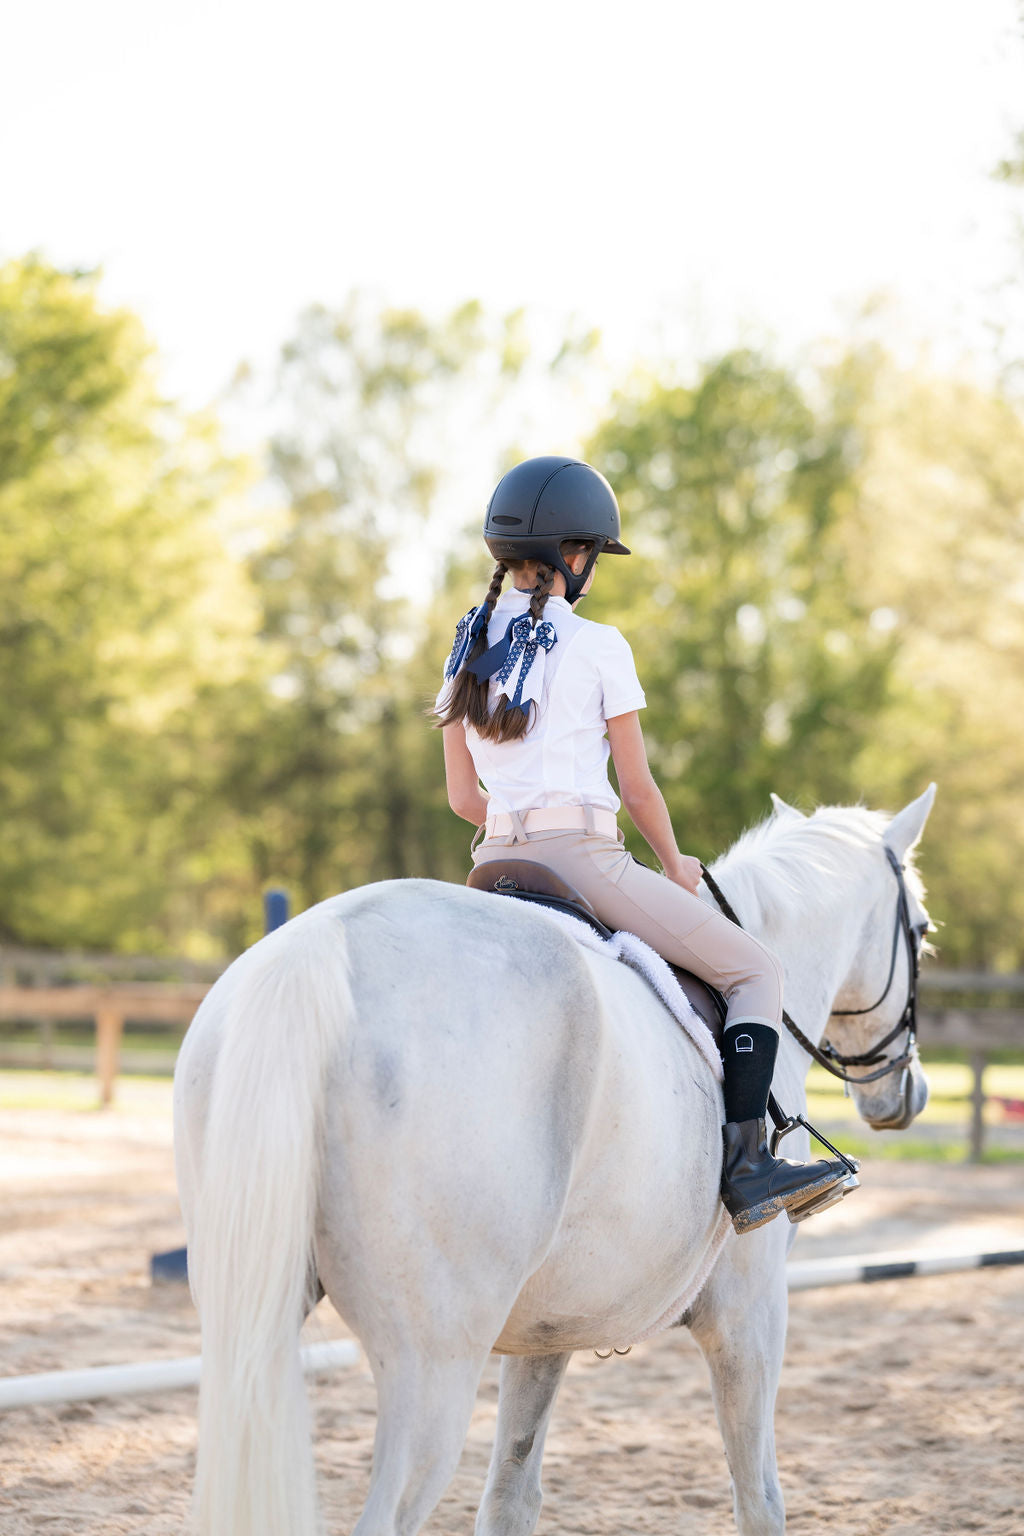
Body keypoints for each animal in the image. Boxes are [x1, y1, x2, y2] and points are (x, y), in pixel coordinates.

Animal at [173, 785, 935, 1536]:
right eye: (923, 932)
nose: (908, 1094)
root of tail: (319, 947)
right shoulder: (750, 1310)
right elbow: (760, 1500)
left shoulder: (546, 1330)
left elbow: (510, 1497)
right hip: (432, 1362)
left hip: (254, 1327)